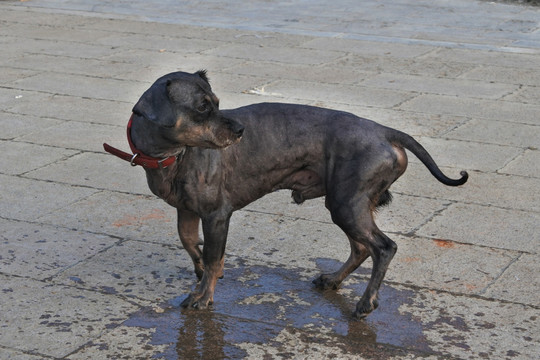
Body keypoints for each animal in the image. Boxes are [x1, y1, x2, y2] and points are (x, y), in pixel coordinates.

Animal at [103, 70, 466, 318]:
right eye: (203, 108)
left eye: (217, 104)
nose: (240, 130)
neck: (170, 156)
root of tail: (385, 131)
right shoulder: (187, 212)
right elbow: (192, 245)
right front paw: (204, 270)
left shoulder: (217, 215)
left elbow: (212, 255)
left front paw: (203, 295)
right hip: (346, 205)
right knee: (362, 248)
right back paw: (333, 280)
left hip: (347, 204)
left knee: (384, 248)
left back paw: (366, 303)